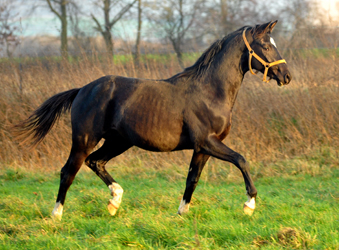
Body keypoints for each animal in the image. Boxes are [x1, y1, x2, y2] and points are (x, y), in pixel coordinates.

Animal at [15, 21, 292, 221]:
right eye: (266, 45)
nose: (286, 76)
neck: (210, 92)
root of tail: (82, 89)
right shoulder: (207, 141)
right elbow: (241, 160)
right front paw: (249, 204)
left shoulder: (202, 148)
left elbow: (192, 179)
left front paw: (181, 213)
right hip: (84, 140)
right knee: (68, 171)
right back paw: (57, 215)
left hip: (119, 142)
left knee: (96, 162)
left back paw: (115, 201)